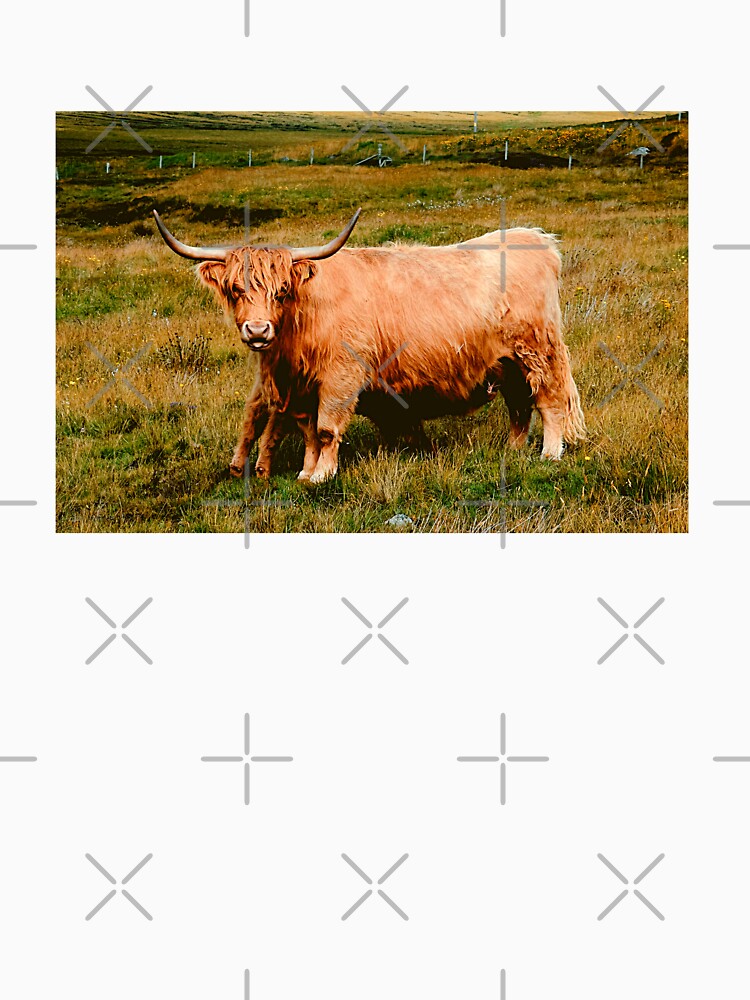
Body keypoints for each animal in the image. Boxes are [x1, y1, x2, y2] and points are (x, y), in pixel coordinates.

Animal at [153, 209, 585, 482]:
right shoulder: (303, 385)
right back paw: (511, 450)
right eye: (236, 289)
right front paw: (306, 471)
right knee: (519, 407)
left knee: (548, 402)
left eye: (281, 291)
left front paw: (321, 476)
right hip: (505, 363)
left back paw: (549, 453)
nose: (257, 330)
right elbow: (308, 431)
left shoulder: (340, 377)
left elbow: (326, 430)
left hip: (537, 351)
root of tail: (536, 238)